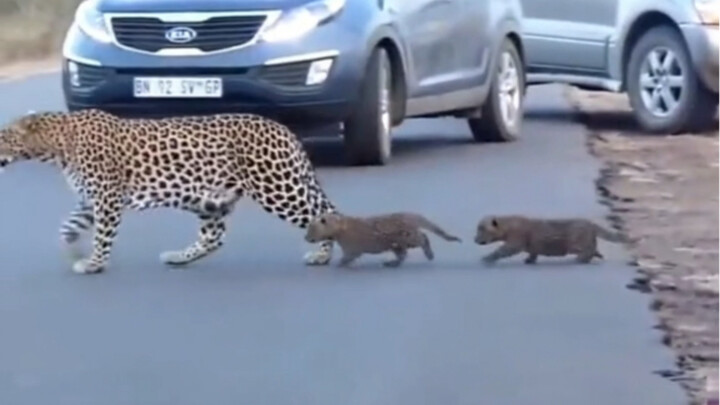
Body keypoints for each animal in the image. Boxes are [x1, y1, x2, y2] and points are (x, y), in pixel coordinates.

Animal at [0, 108, 338, 274]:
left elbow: (102, 236)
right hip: (210, 199)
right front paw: (73, 249)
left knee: (323, 213)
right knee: (214, 237)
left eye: (2, 138)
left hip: (277, 188)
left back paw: (321, 256)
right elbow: (67, 226)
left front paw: (94, 263)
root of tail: (283, 129)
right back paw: (178, 257)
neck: (55, 146)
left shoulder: (107, 198)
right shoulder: (90, 200)